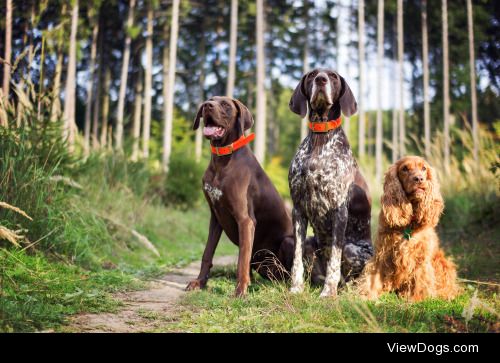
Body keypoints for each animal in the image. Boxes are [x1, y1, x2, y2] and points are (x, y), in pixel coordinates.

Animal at [186, 97, 294, 298]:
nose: (207, 106)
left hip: (289, 242)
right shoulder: (215, 217)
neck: (222, 160)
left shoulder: (245, 220)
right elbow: (207, 253)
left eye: (226, 105)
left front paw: (241, 290)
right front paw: (200, 282)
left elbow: (241, 259)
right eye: (209, 101)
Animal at [288, 69, 374, 298]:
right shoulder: (298, 210)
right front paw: (296, 287)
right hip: (312, 242)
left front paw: (328, 292)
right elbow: (296, 257)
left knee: (351, 277)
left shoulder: (338, 211)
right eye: (311, 75)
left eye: (333, 76)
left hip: (353, 250)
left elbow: (334, 259)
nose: (321, 80)